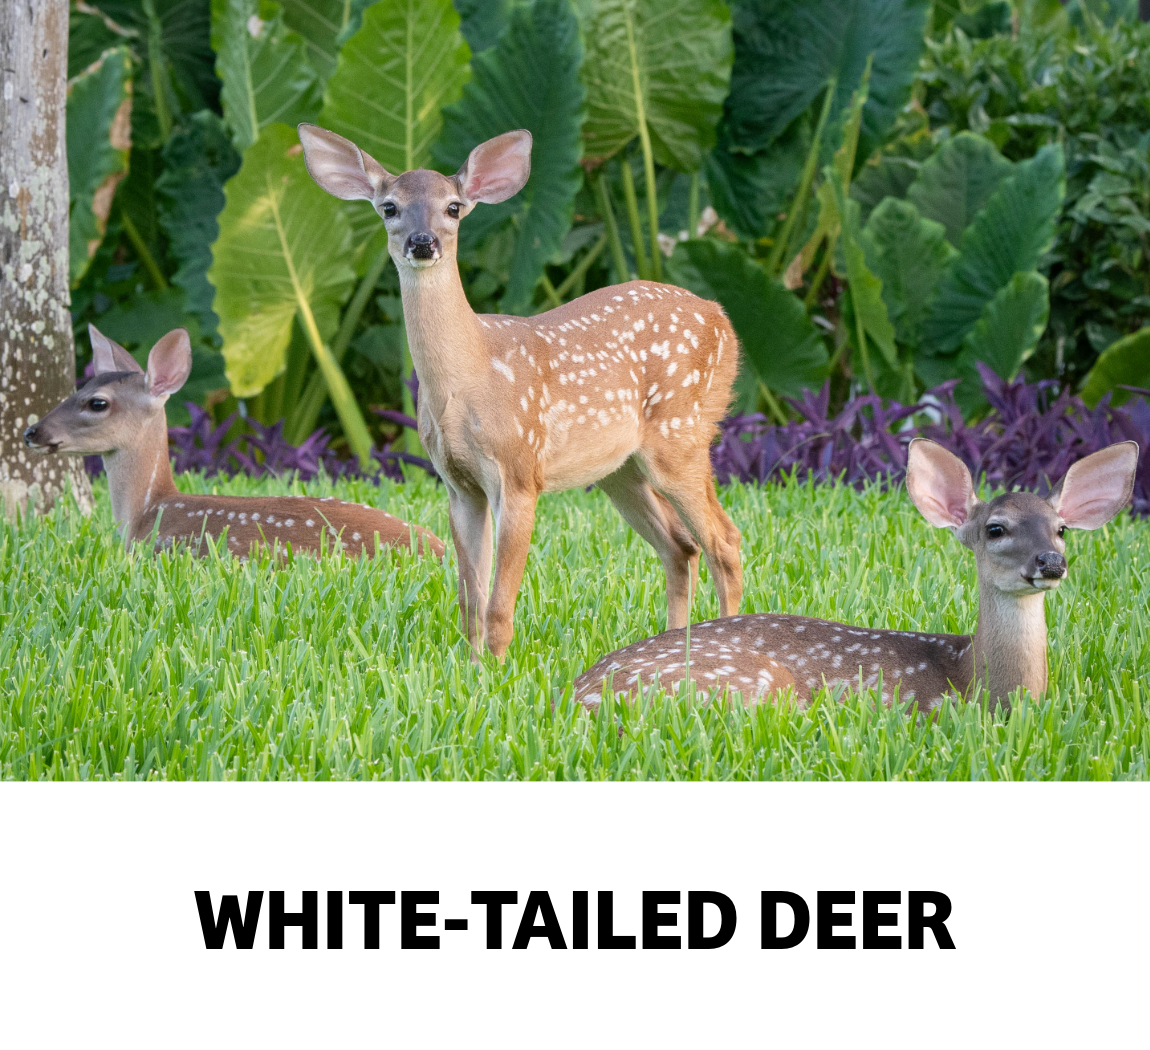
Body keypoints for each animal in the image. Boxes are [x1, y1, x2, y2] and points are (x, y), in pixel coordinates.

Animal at [296, 124, 743, 659]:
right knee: (681, 546)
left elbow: (498, 605)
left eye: (453, 207)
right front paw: (470, 667)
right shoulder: (458, 485)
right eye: (389, 207)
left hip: (681, 433)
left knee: (724, 541)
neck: (469, 376)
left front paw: (496, 668)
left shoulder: (519, 470)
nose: (423, 243)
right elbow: (470, 601)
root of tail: (723, 318)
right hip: (620, 469)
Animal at [572, 438, 1140, 715]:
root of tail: (577, 693)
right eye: (995, 528)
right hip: (756, 684)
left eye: (1061, 529)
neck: (975, 679)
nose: (1050, 562)